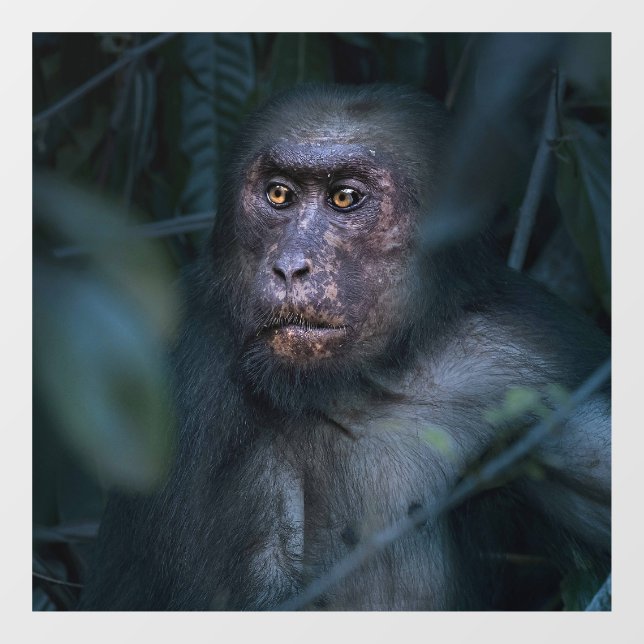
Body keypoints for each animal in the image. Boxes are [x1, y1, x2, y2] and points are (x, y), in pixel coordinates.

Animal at [78, 84, 610, 611]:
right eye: (279, 194)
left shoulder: (536, 356)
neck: (369, 380)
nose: (290, 265)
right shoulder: (190, 369)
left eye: (344, 197)